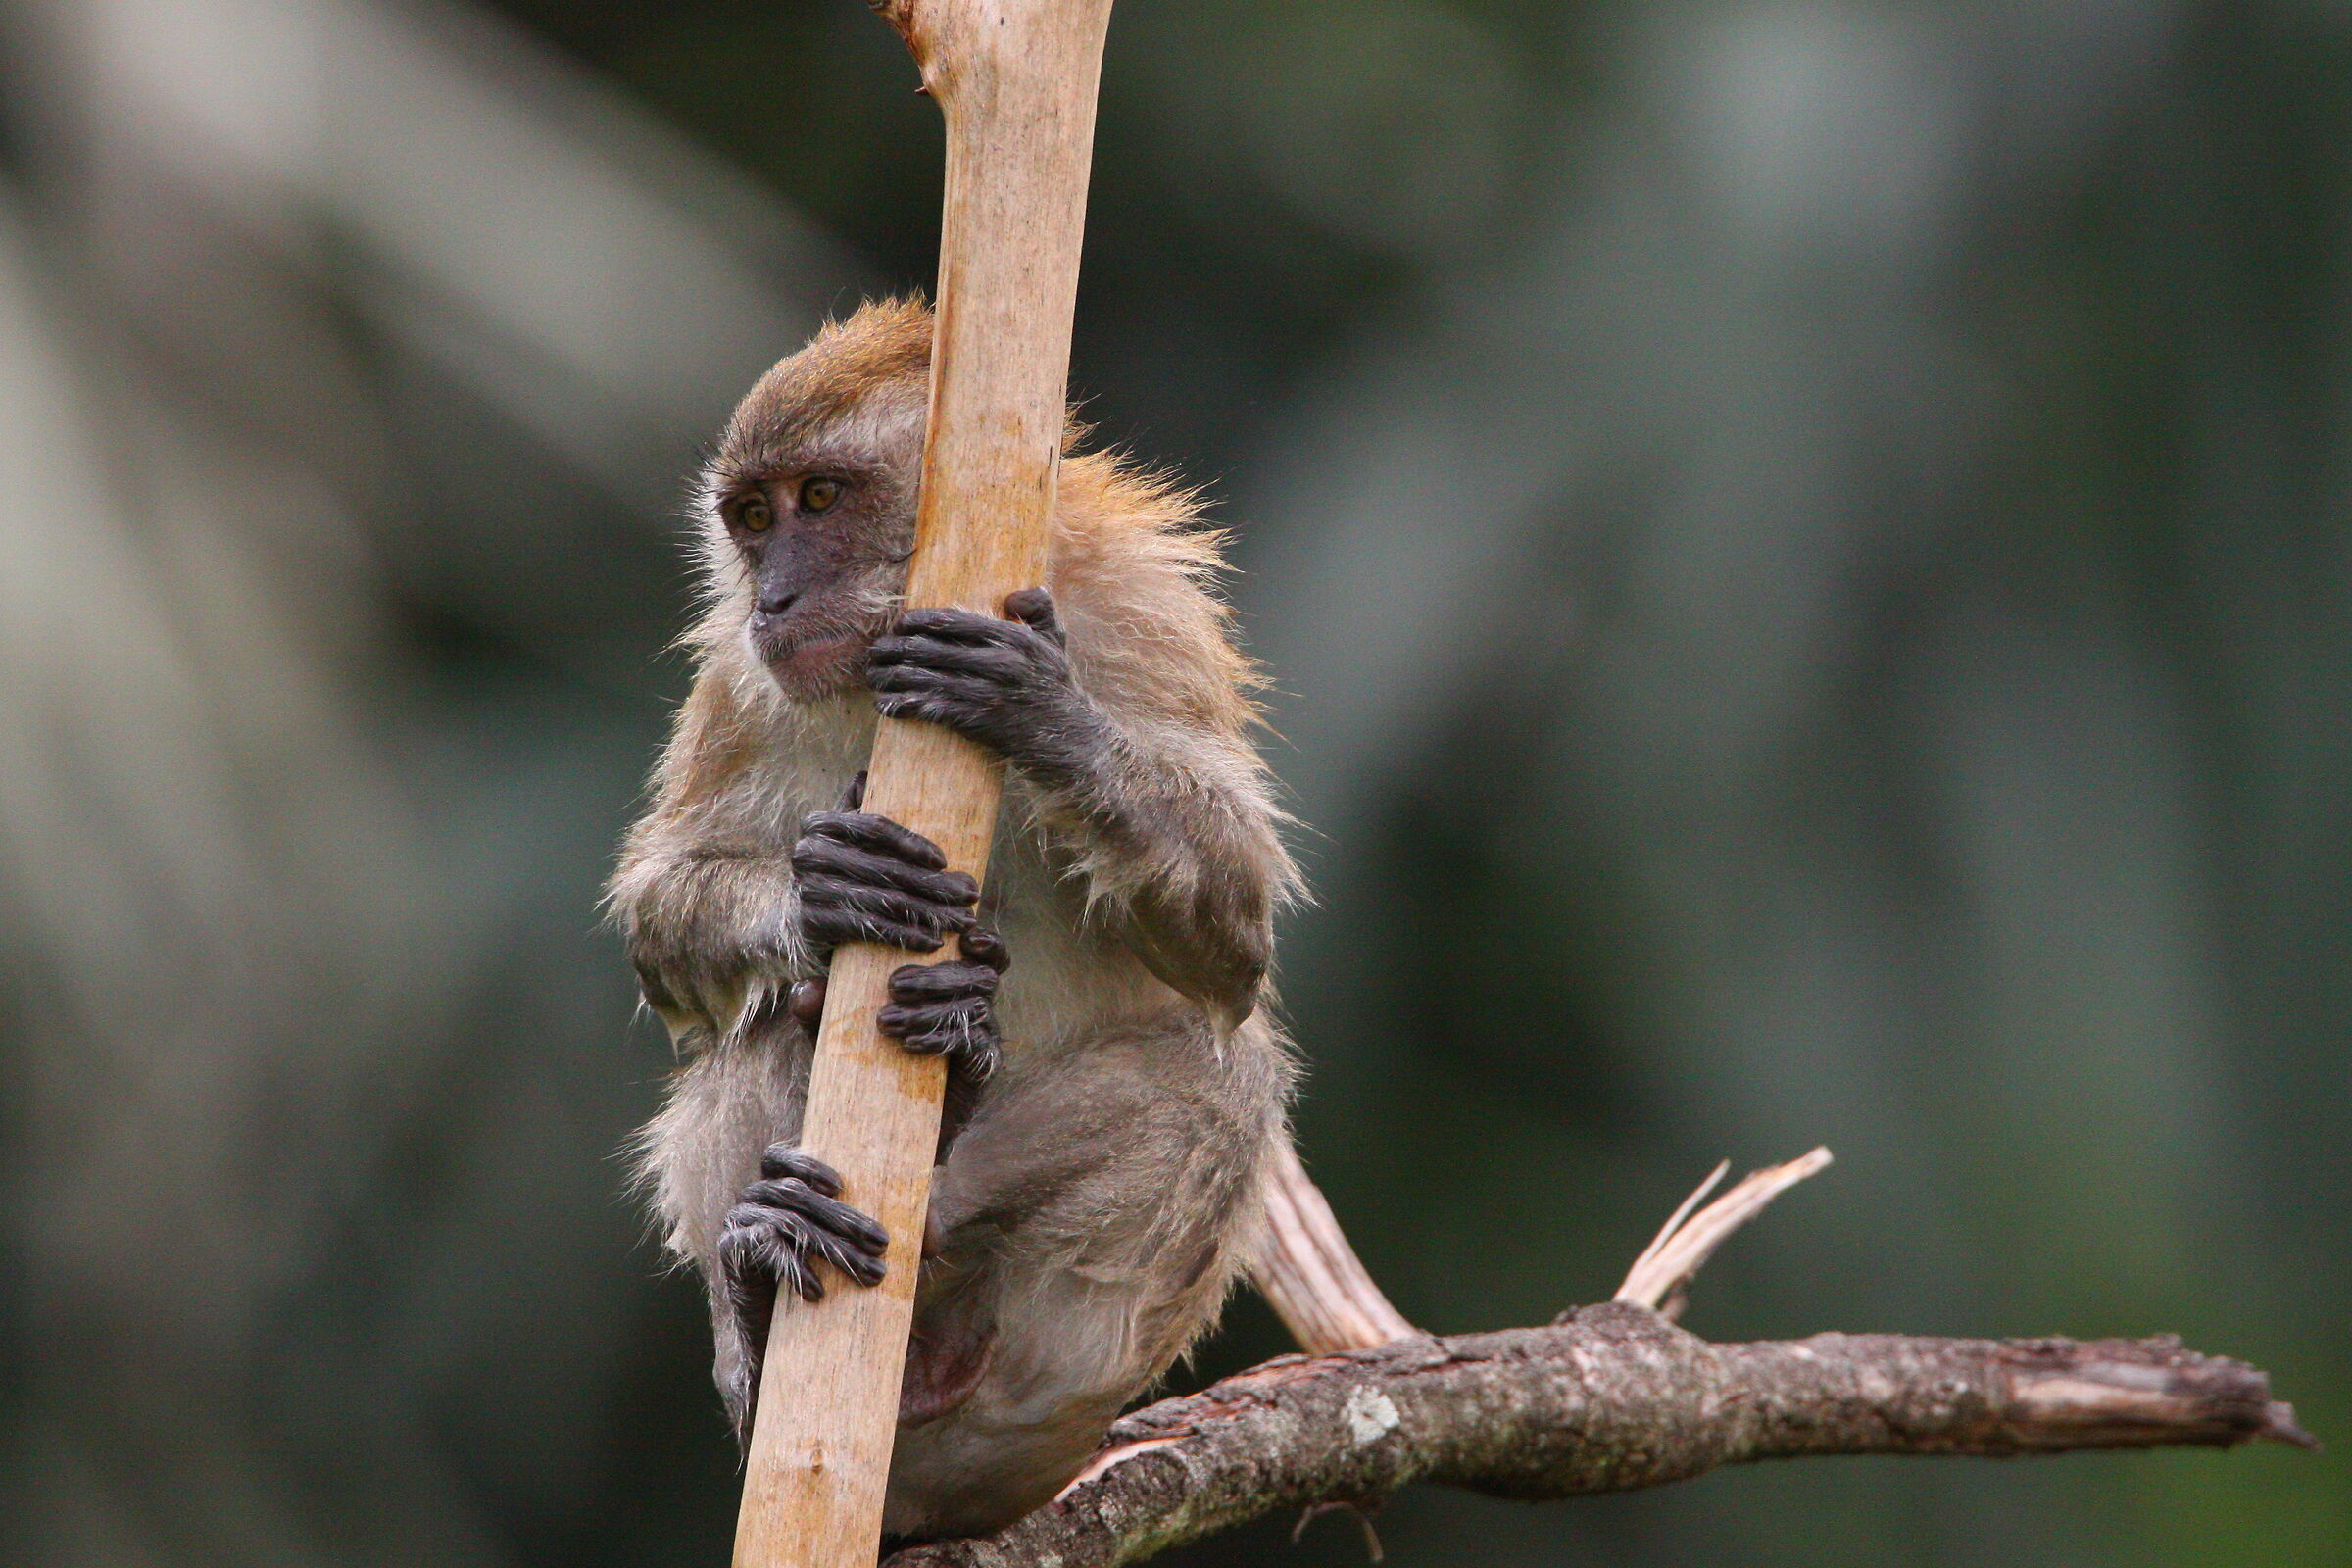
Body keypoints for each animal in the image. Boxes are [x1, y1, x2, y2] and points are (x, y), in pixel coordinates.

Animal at [608, 299, 1299, 1541]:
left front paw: (1044, 713)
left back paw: (949, 1151)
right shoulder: (739, 673)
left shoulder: (1142, 611)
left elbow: (1233, 935)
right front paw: (817, 887)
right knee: (770, 1023)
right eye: (752, 518)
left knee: (1218, 1075)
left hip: (1061, 1378)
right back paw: (763, 1294)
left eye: (819, 499)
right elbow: (663, 909)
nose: (773, 598)